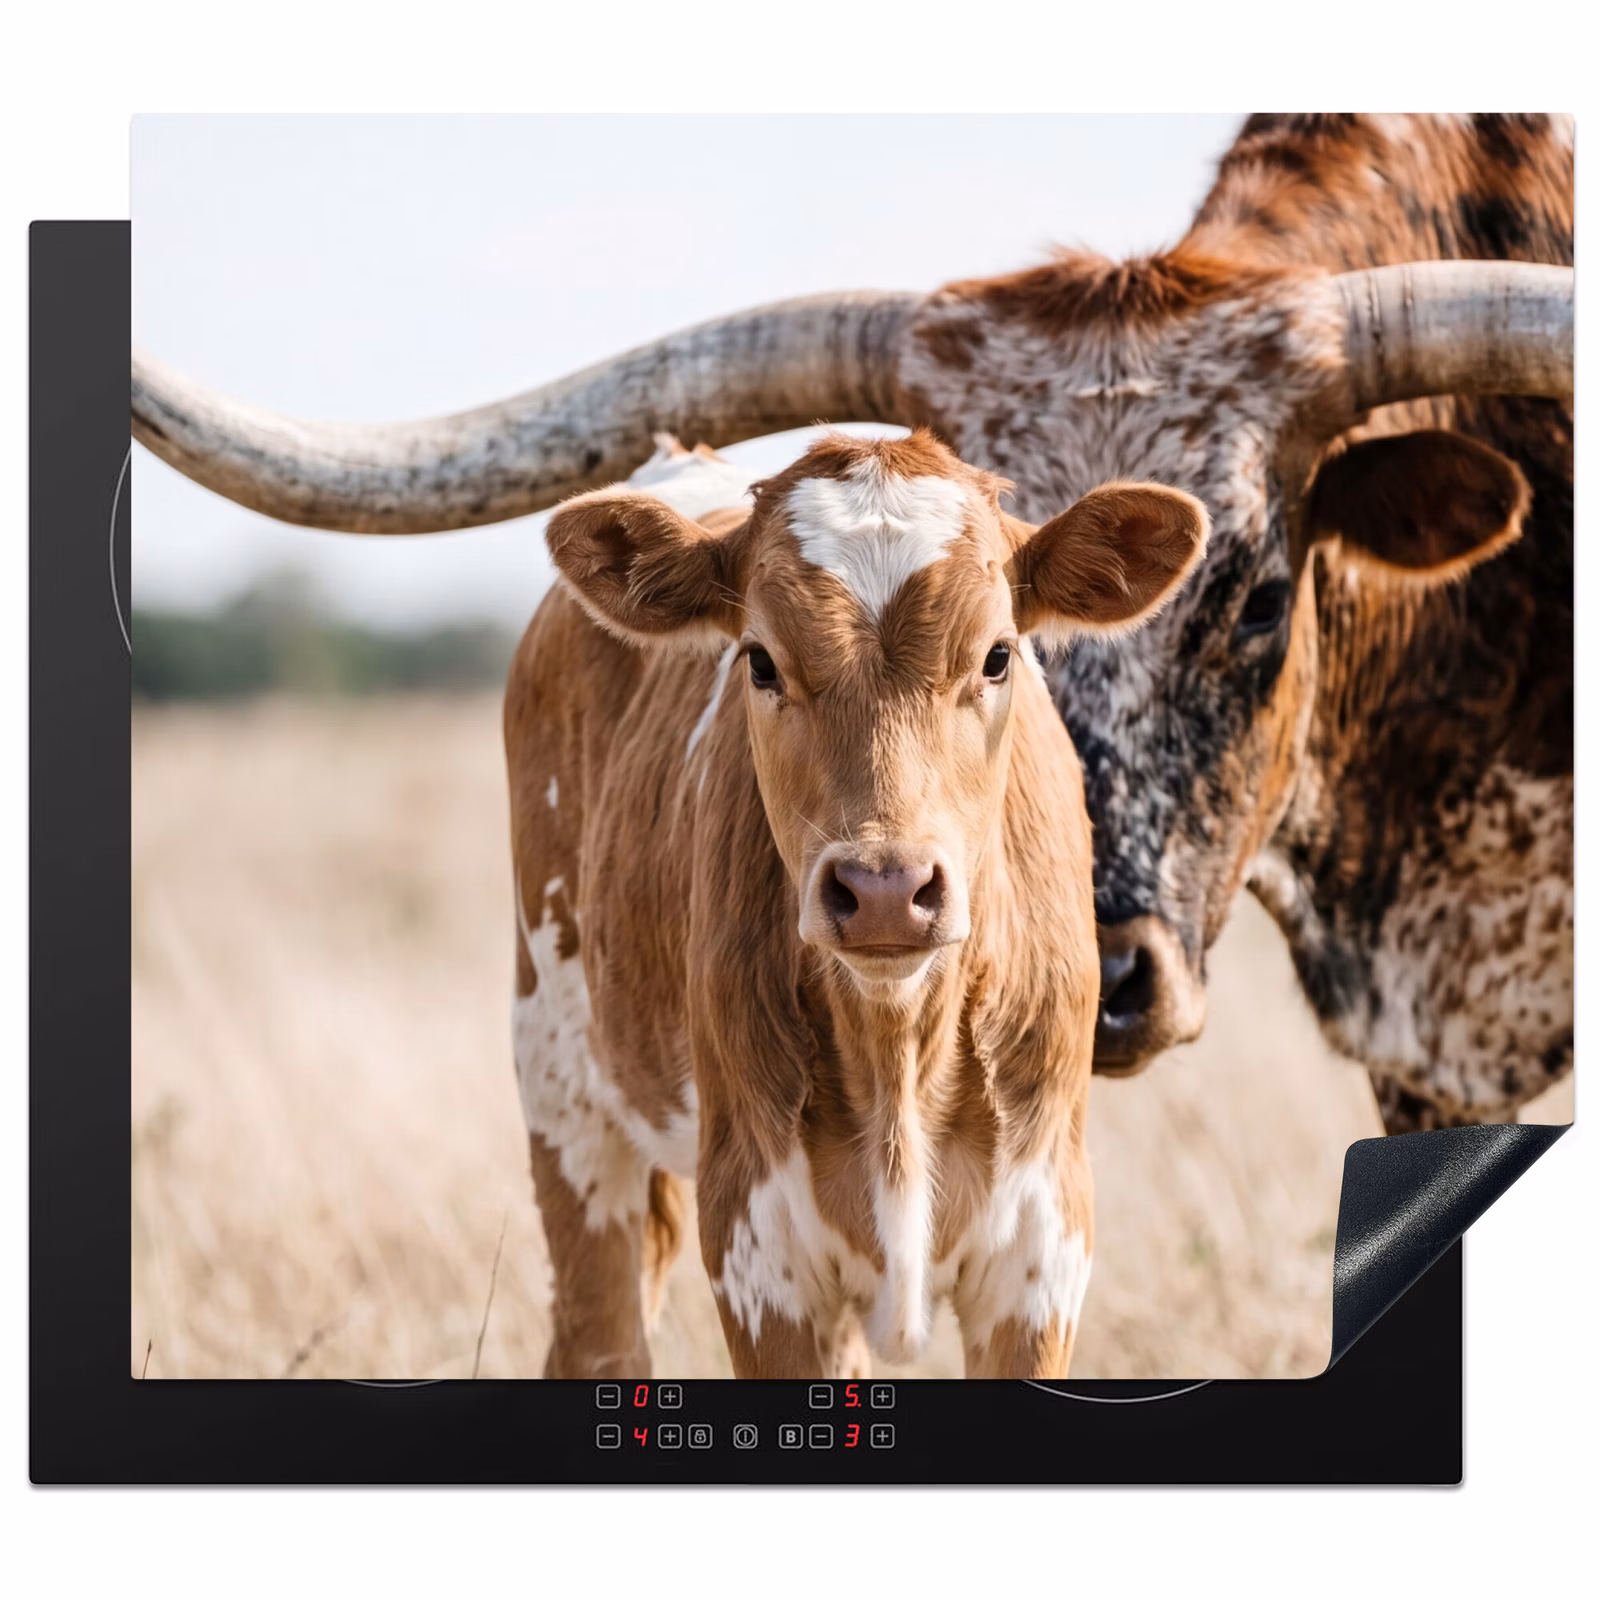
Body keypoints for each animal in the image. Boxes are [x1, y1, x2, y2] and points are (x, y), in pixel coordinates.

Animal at [510, 431, 1206, 1377]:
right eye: (760, 660)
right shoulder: (759, 1249)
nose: (885, 891)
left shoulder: (1042, 1251)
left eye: (997, 655)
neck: (898, 1038)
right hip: (563, 1092)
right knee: (599, 1334)